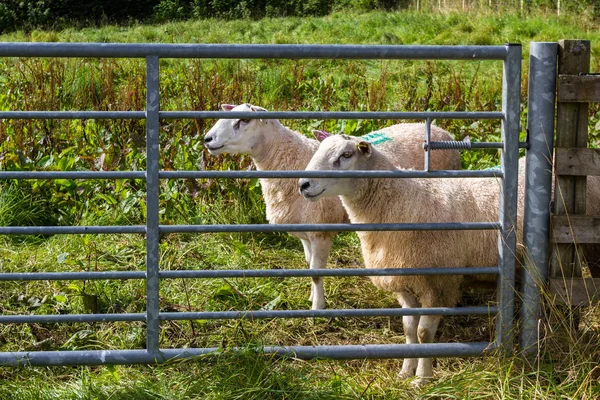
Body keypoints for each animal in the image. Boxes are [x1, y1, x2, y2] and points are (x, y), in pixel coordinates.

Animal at [202, 103, 460, 310]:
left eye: (244, 120)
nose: (207, 139)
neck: (286, 161)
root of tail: (444, 131)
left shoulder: (321, 231)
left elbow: (317, 273)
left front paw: (318, 307)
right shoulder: (305, 232)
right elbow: (309, 267)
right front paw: (311, 297)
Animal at [300, 134, 520, 384]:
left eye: (346, 155)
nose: (303, 184)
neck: (402, 201)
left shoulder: (439, 284)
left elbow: (424, 333)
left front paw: (422, 378)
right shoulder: (405, 284)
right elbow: (409, 330)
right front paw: (405, 371)